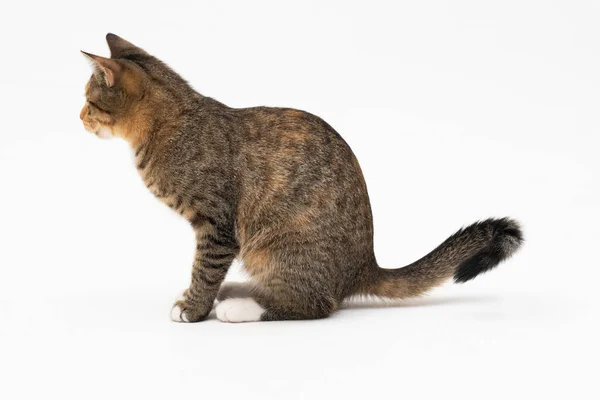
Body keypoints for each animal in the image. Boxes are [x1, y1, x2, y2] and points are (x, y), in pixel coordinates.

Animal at [81, 33, 524, 322]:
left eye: (87, 99)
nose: (79, 116)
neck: (170, 121)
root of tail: (363, 267)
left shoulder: (217, 224)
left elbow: (205, 268)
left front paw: (195, 307)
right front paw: (196, 298)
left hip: (279, 243)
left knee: (315, 304)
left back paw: (242, 307)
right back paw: (238, 290)